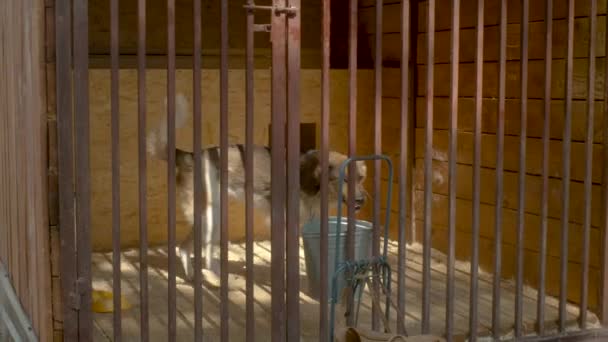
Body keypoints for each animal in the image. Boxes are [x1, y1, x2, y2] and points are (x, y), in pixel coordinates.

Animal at [147, 95, 368, 288]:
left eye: (360, 178)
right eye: (343, 180)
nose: (361, 201)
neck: (311, 181)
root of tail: (190, 155)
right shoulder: (283, 223)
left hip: (206, 218)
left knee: (184, 248)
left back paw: (195, 278)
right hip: (211, 216)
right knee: (205, 255)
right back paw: (221, 281)